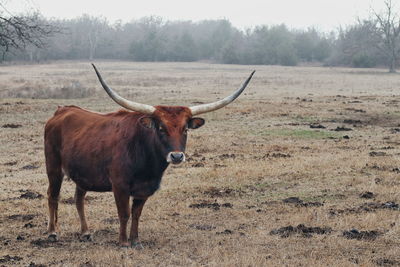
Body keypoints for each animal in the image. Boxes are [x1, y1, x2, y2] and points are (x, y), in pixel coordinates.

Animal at [43, 63, 255, 248]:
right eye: (161, 128)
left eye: (185, 129)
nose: (177, 156)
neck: (146, 163)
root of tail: (62, 110)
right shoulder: (119, 186)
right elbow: (124, 213)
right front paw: (123, 242)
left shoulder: (144, 189)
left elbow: (136, 214)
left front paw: (136, 241)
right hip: (53, 168)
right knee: (52, 195)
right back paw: (53, 233)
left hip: (83, 173)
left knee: (79, 198)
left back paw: (85, 232)